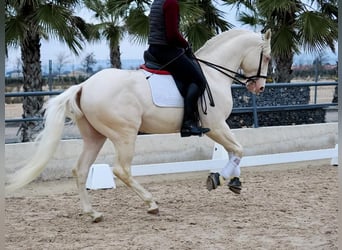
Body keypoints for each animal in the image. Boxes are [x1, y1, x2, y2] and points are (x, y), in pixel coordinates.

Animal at [6, 29, 272, 223]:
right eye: (267, 57)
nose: (259, 88)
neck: (213, 74)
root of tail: (83, 86)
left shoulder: (219, 127)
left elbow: (234, 151)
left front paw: (234, 181)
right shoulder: (216, 125)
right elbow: (238, 150)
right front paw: (219, 178)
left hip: (95, 137)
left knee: (81, 170)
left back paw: (93, 213)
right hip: (125, 135)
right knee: (121, 170)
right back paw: (151, 204)